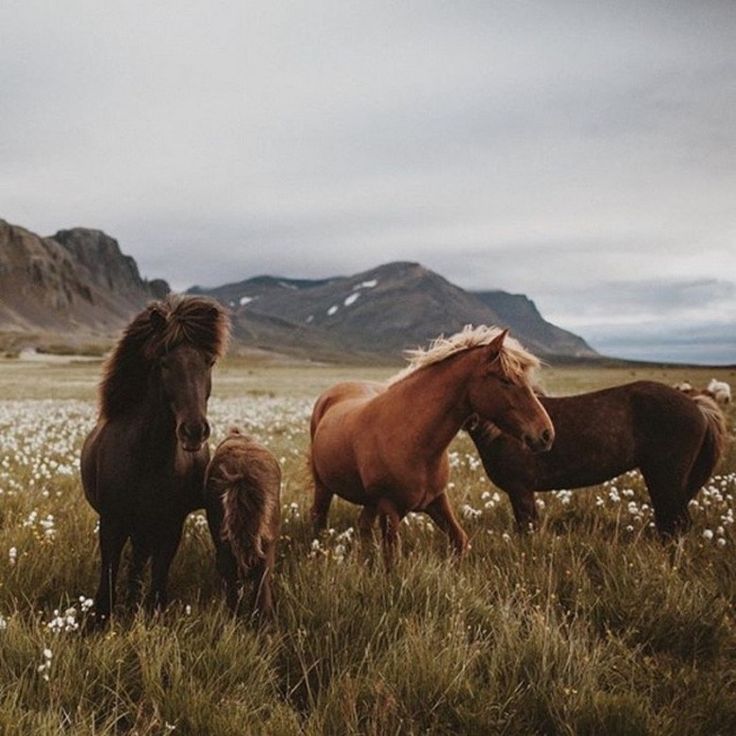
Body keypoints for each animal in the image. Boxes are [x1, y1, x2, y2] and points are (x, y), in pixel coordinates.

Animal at [80, 294, 230, 620]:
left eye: (209, 362)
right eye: (164, 362)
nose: (193, 431)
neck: (147, 458)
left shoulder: (170, 523)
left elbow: (159, 578)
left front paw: (149, 613)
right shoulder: (112, 521)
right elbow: (108, 577)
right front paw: (100, 619)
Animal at [308, 324, 556, 560]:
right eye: (506, 380)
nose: (546, 434)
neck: (413, 440)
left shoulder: (436, 500)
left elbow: (460, 540)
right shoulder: (389, 508)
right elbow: (392, 561)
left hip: (370, 502)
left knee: (363, 529)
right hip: (324, 488)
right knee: (319, 521)